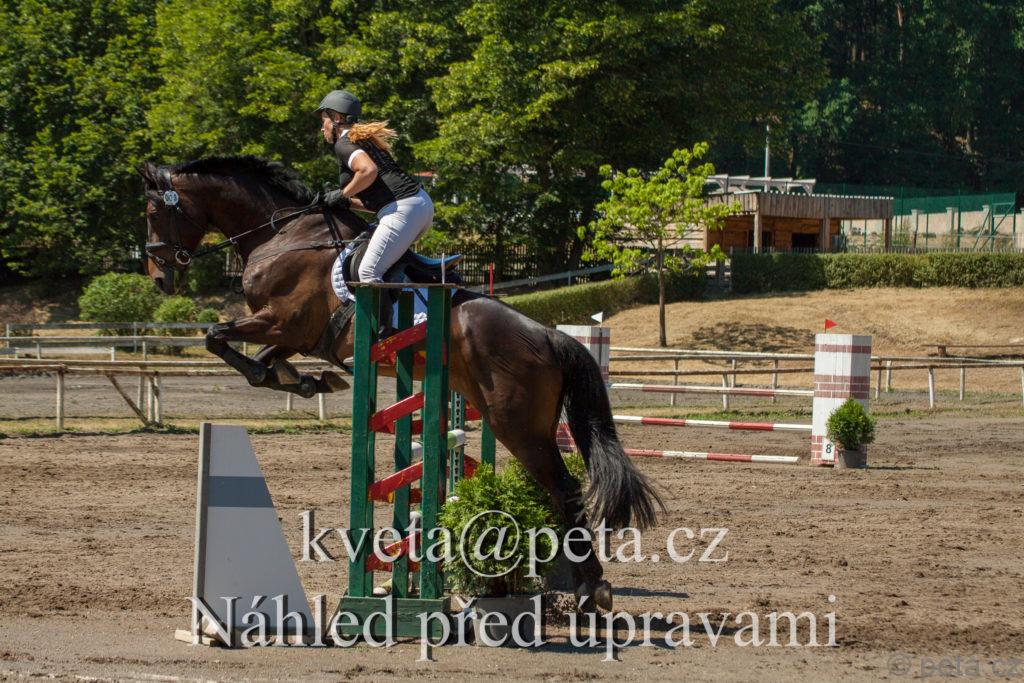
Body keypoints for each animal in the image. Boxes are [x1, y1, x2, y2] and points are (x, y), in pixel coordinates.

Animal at [139, 156, 662, 611]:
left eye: (152, 212)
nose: (159, 278)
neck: (282, 234)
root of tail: (550, 335)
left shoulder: (282, 322)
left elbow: (217, 338)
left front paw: (294, 377)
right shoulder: (298, 336)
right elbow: (264, 363)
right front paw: (308, 381)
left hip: (518, 426)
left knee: (564, 488)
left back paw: (591, 588)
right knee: (555, 488)